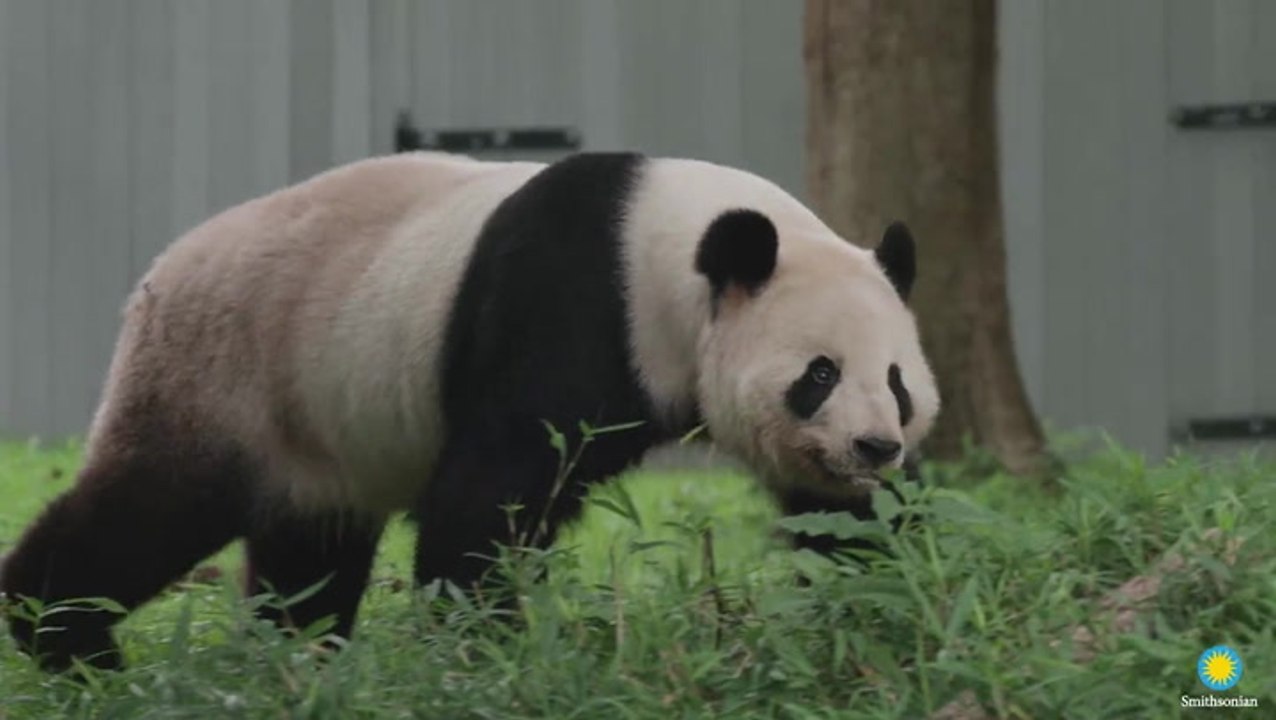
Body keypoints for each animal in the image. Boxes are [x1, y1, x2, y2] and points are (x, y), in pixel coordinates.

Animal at [1, 151, 939, 671]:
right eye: (819, 374)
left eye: (896, 382)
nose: (874, 447)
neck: (672, 246)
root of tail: (155, 276)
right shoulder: (570, 301)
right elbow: (493, 490)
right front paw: (484, 643)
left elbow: (845, 523)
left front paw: (891, 597)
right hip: (228, 375)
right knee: (151, 508)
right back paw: (64, 638)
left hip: (321, 429)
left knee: (311, 548)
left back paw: (299, 657)